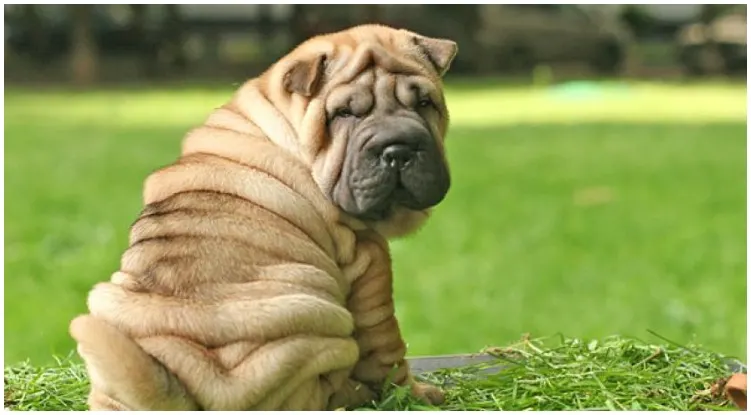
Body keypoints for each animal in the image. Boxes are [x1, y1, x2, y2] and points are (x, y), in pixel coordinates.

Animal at [70, 25, 458, 412]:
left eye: (424, 104)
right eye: (345, 114)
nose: (399, 148)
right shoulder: (369, 259)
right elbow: (386, 343)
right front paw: (418, 394)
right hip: (313, 314)